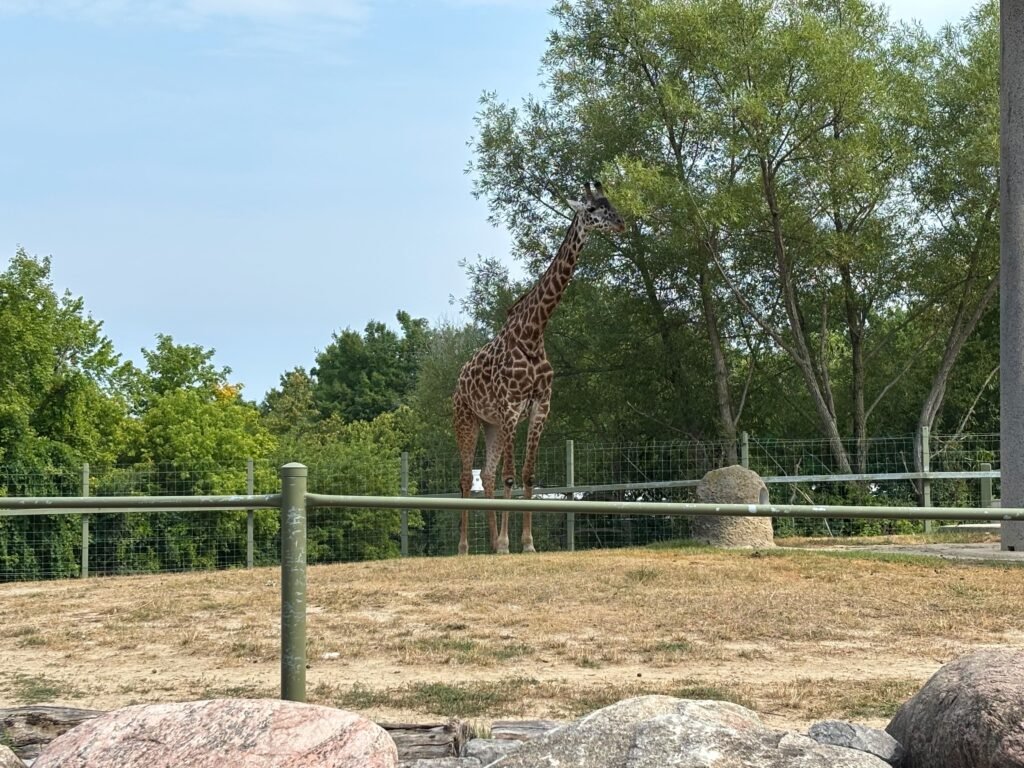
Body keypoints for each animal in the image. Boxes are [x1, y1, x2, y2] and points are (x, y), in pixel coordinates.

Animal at [453, 181, 625, 554]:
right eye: (593, 209)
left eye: (611, 204)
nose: (621, 222)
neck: (533, 332)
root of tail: (458, 379)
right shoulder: (510, 406)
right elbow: (511, 476)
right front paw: (508, 543)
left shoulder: (539, 407)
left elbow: (527, 475)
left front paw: (526, 543)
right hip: (466, 419)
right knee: (466, 477)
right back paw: (465, 547)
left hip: (490, 424)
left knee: (486, 475)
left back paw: (490, 543)